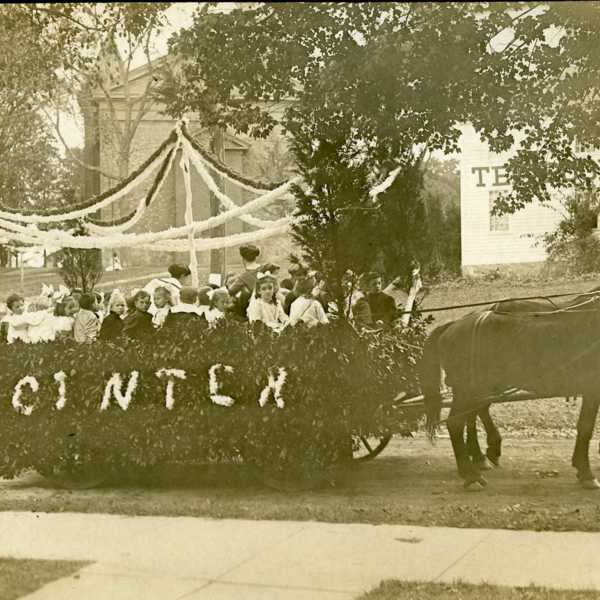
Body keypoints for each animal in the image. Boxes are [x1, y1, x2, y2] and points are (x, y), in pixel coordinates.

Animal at [420, 288, 600, 490]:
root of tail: (453, 325)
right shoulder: (592, 388)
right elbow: (586, 427)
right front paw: (586, 472)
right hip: (466, 389)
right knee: (456, 423)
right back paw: (471, 474)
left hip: (477, 388)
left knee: (472, 415)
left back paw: (478, 460)